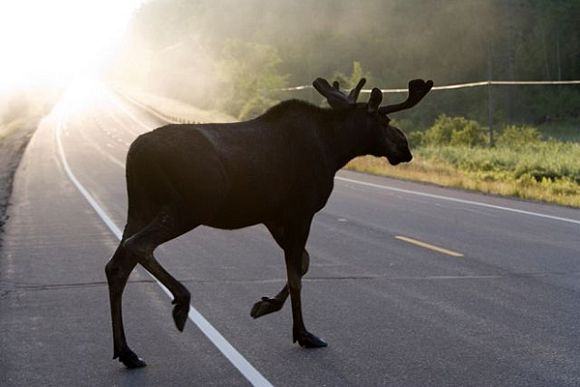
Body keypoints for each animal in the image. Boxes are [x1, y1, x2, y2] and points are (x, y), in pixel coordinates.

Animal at [105, 76, 430, 370]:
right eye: (385, 121)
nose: (405, 147)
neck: (335, 149)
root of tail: (135, 153)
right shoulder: (300, 211)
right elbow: (297, 274)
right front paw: (303, 334)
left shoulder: (273, 216)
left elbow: (303, 263)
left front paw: (265, 305)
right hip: (188, 207)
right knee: (138, 246)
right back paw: (181, 303)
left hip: (141, 208)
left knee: (116, 266)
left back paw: (127, 352)